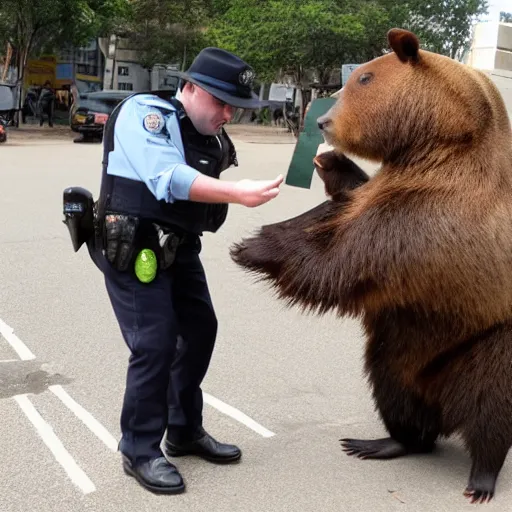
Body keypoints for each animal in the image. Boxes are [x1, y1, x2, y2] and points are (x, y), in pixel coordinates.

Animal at [230, 28, 512, 504]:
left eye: (363, 78)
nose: (322, 122)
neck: (438, 144)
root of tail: (443, 404)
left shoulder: (428, 218)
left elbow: (340, 264)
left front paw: (253, 245)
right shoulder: (390, 187)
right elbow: (350, 198)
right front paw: (330, 162)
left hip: (485, 343)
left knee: (489, 407)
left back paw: (481, 478)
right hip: (398, 351)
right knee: (394, 393)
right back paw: (385, 442)